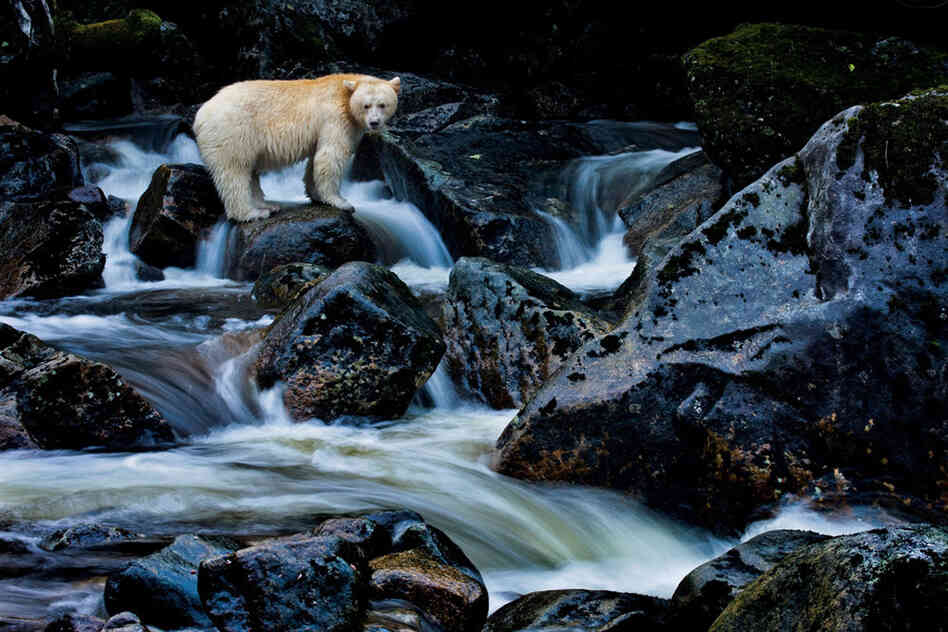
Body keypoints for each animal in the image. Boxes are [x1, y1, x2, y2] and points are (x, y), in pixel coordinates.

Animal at [192, 73, 400, 222]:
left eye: (383, 104)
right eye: (366, 105)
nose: (374, 123)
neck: (344, 93)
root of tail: (200, 115)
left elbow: (316, 159)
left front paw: (316, 194)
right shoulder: (335, 118)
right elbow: (331, 156)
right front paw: (341, 202)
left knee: (250, 171)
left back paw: (267, 205)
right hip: (233, 132)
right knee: (235, 171)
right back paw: (252, 213)